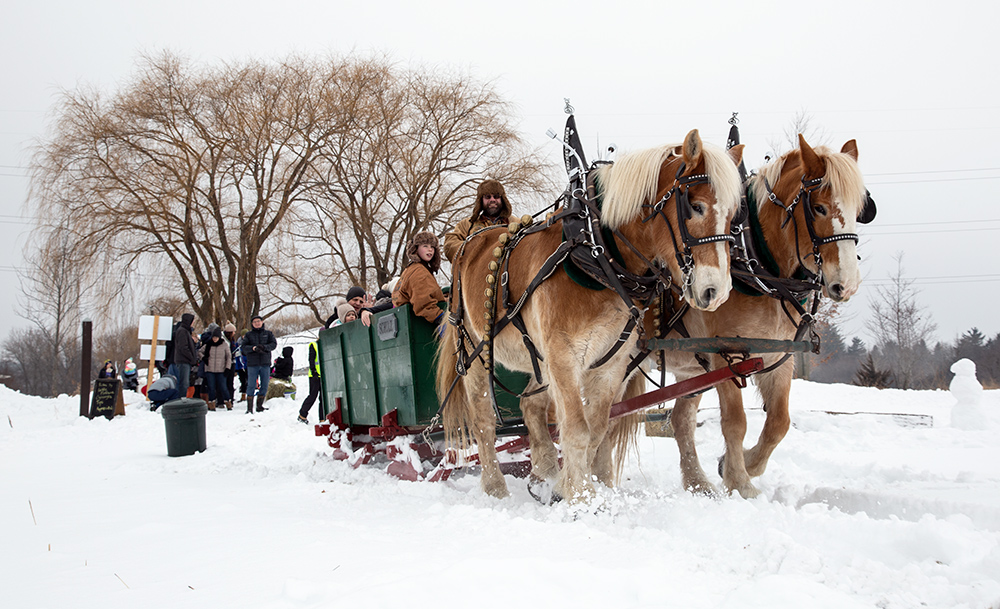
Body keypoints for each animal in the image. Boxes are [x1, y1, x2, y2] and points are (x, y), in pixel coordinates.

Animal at [438, 131, 744, 502]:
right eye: (695, 206)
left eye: (734, 215)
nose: (717, 292)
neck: (597, 254)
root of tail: (470, 241)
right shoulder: (563, 357)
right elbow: (577, 430)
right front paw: (581, 498)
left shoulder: (610, 363)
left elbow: (596, 430)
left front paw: (568, 487)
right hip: (474, 351)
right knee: (483, 418)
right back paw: (496, 487)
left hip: (537, 357)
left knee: (531, 407)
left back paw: (544, 473)